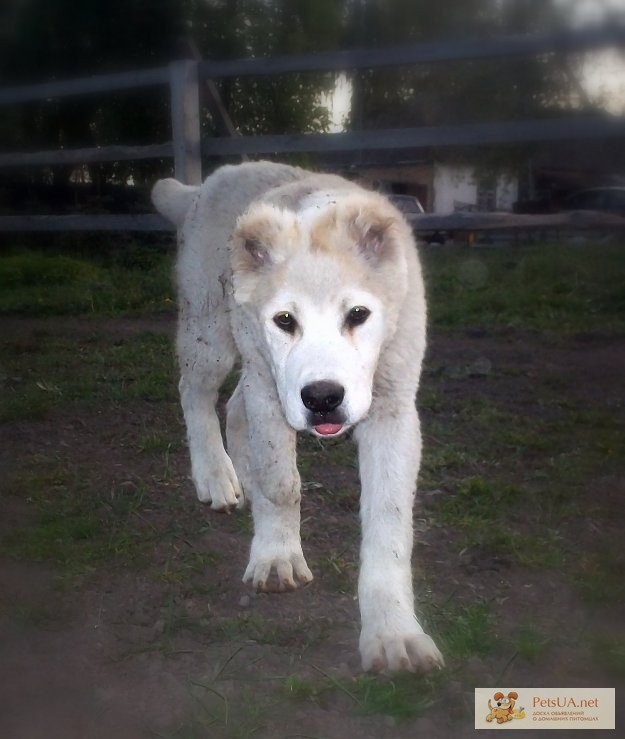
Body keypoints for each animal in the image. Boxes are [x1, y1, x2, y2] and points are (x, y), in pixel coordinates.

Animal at [151, 163, 444, 676]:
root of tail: (203, 187)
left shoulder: (393, 409)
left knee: (235, 410)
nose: (323, 398)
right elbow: (281, 483)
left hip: (253, 365)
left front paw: (394, 631)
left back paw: (239, 480)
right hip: (215, 335)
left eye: (359, 314)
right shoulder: (274, 394)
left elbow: (389, 522)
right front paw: (277, 556)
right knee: (197, 394)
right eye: (285, 320)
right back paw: (215, 476)